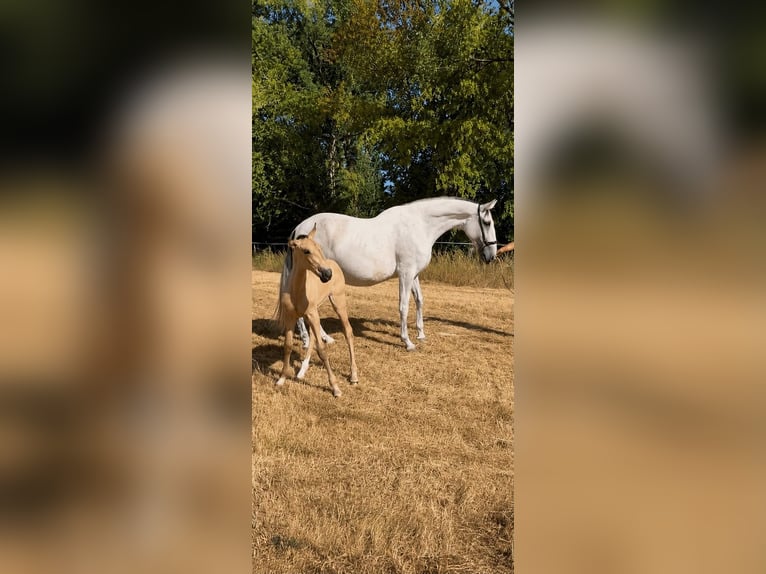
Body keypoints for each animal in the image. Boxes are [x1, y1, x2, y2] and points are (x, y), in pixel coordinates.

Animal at [275, 224, 358, 397]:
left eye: (319, 248)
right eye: (306, 251)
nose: (327, 274)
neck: (297, 291)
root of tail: (334, 264)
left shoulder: (312, 315)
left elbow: (322, 350)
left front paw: (335, 388)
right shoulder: (292, 317)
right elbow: (288, 346)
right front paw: (282, 378)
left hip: (338, 302)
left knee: (348, 331)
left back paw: (353, 375)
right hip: (314, 312)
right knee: (313, 337)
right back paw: (301, 371)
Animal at [283, 197, 498, 351]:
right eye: (487, 222)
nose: (492, 256)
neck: (420, 225)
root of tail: (298, 229)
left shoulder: (414, 274)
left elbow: (419, 300)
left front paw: (421, 334)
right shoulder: (406, 274)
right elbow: (404, 306)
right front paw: (407, 342)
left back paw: (324, 338)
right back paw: (306, 341)